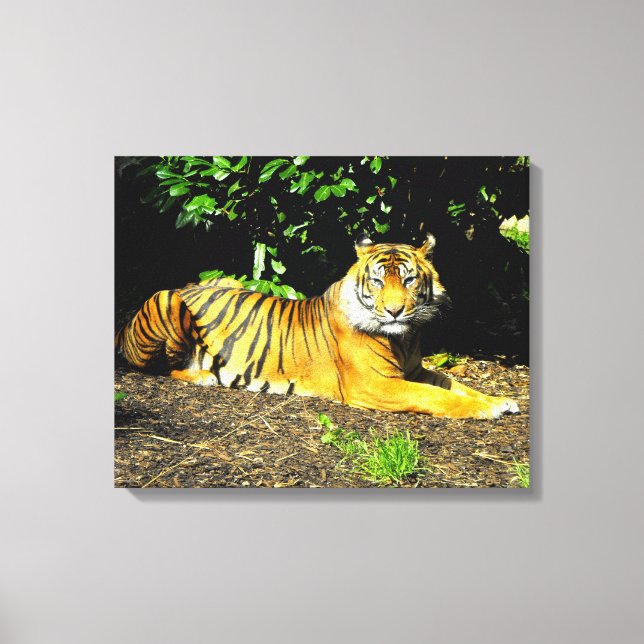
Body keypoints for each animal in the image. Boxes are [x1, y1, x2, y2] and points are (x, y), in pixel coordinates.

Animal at [115, 234, 519, 419]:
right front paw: (488, 410)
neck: (405, 338)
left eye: (408, 280)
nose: (394, 312)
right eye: (377, 281)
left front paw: (501, 400)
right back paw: (203, 377)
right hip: (167, 299)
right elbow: (434, 396)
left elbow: (457, 386)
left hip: (225, 280)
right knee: (159, 367)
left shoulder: (415, 370)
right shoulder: (374, 385)